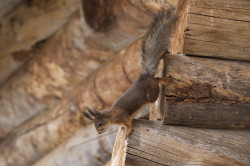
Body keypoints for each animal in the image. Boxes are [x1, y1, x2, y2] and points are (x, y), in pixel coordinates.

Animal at [83, 5, 181, 137]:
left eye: (99, 124)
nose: (99, 133)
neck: (112, 116)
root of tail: (145, 76)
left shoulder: (123, 117)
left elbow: (129, 124)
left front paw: (127, 133)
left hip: (152, 94)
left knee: (157, 82)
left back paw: (165, 80)